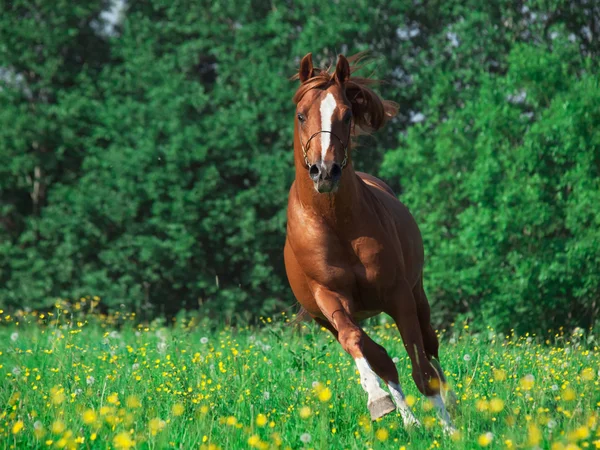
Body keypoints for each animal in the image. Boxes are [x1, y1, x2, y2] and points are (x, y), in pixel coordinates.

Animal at [284, 51, 454, 430]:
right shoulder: (330, 299)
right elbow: (359, 343)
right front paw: (378, 401)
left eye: (346, 115)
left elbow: (421, 368)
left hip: (418, 295)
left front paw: (450, 430)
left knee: (429, 349)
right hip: (327, 320)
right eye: (301, 114)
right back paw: (406, 419)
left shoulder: (399, 295)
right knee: (375, 354)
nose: (325, 171)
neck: (335, 222)